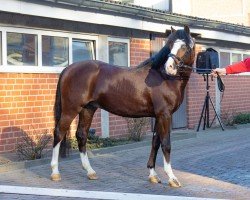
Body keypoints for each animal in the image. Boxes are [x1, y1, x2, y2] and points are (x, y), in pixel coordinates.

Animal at [50, 25, 195, 188]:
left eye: (184, 46)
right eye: (170, 45)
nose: (170, 67)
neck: (163, 77)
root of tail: (67, 69)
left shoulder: (158, 117)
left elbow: (155, 143)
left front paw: (153, 175)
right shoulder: (165, 115)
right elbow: (166, 144)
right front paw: (172, 178)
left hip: (88, 109)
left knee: (81, 135)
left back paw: (90, 171)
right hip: (70, 110)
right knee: (59, 133)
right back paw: (55, 172)